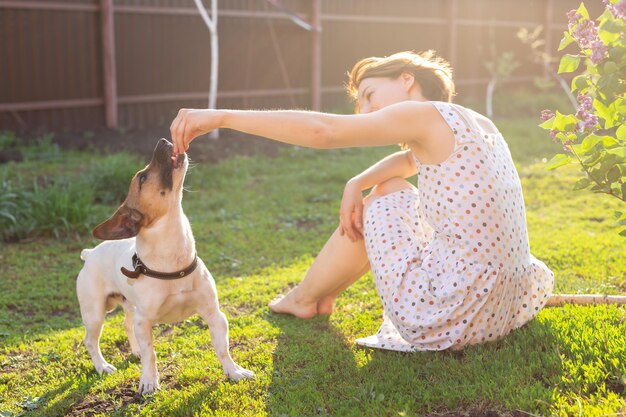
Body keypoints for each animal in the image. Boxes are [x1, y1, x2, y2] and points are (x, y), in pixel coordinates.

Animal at [77, 139, 252, 394]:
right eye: (142, 178)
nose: (163, 140)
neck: (173, 262)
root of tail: (89, 254)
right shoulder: (144, 321)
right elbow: (151, 354)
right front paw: (149, 381)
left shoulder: (214, 314)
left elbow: (222, 348)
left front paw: (233, 371)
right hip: (95, 313)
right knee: (91, 341)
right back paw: (102, 366)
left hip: (128, 307)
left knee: (126, 325)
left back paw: (135, 351)